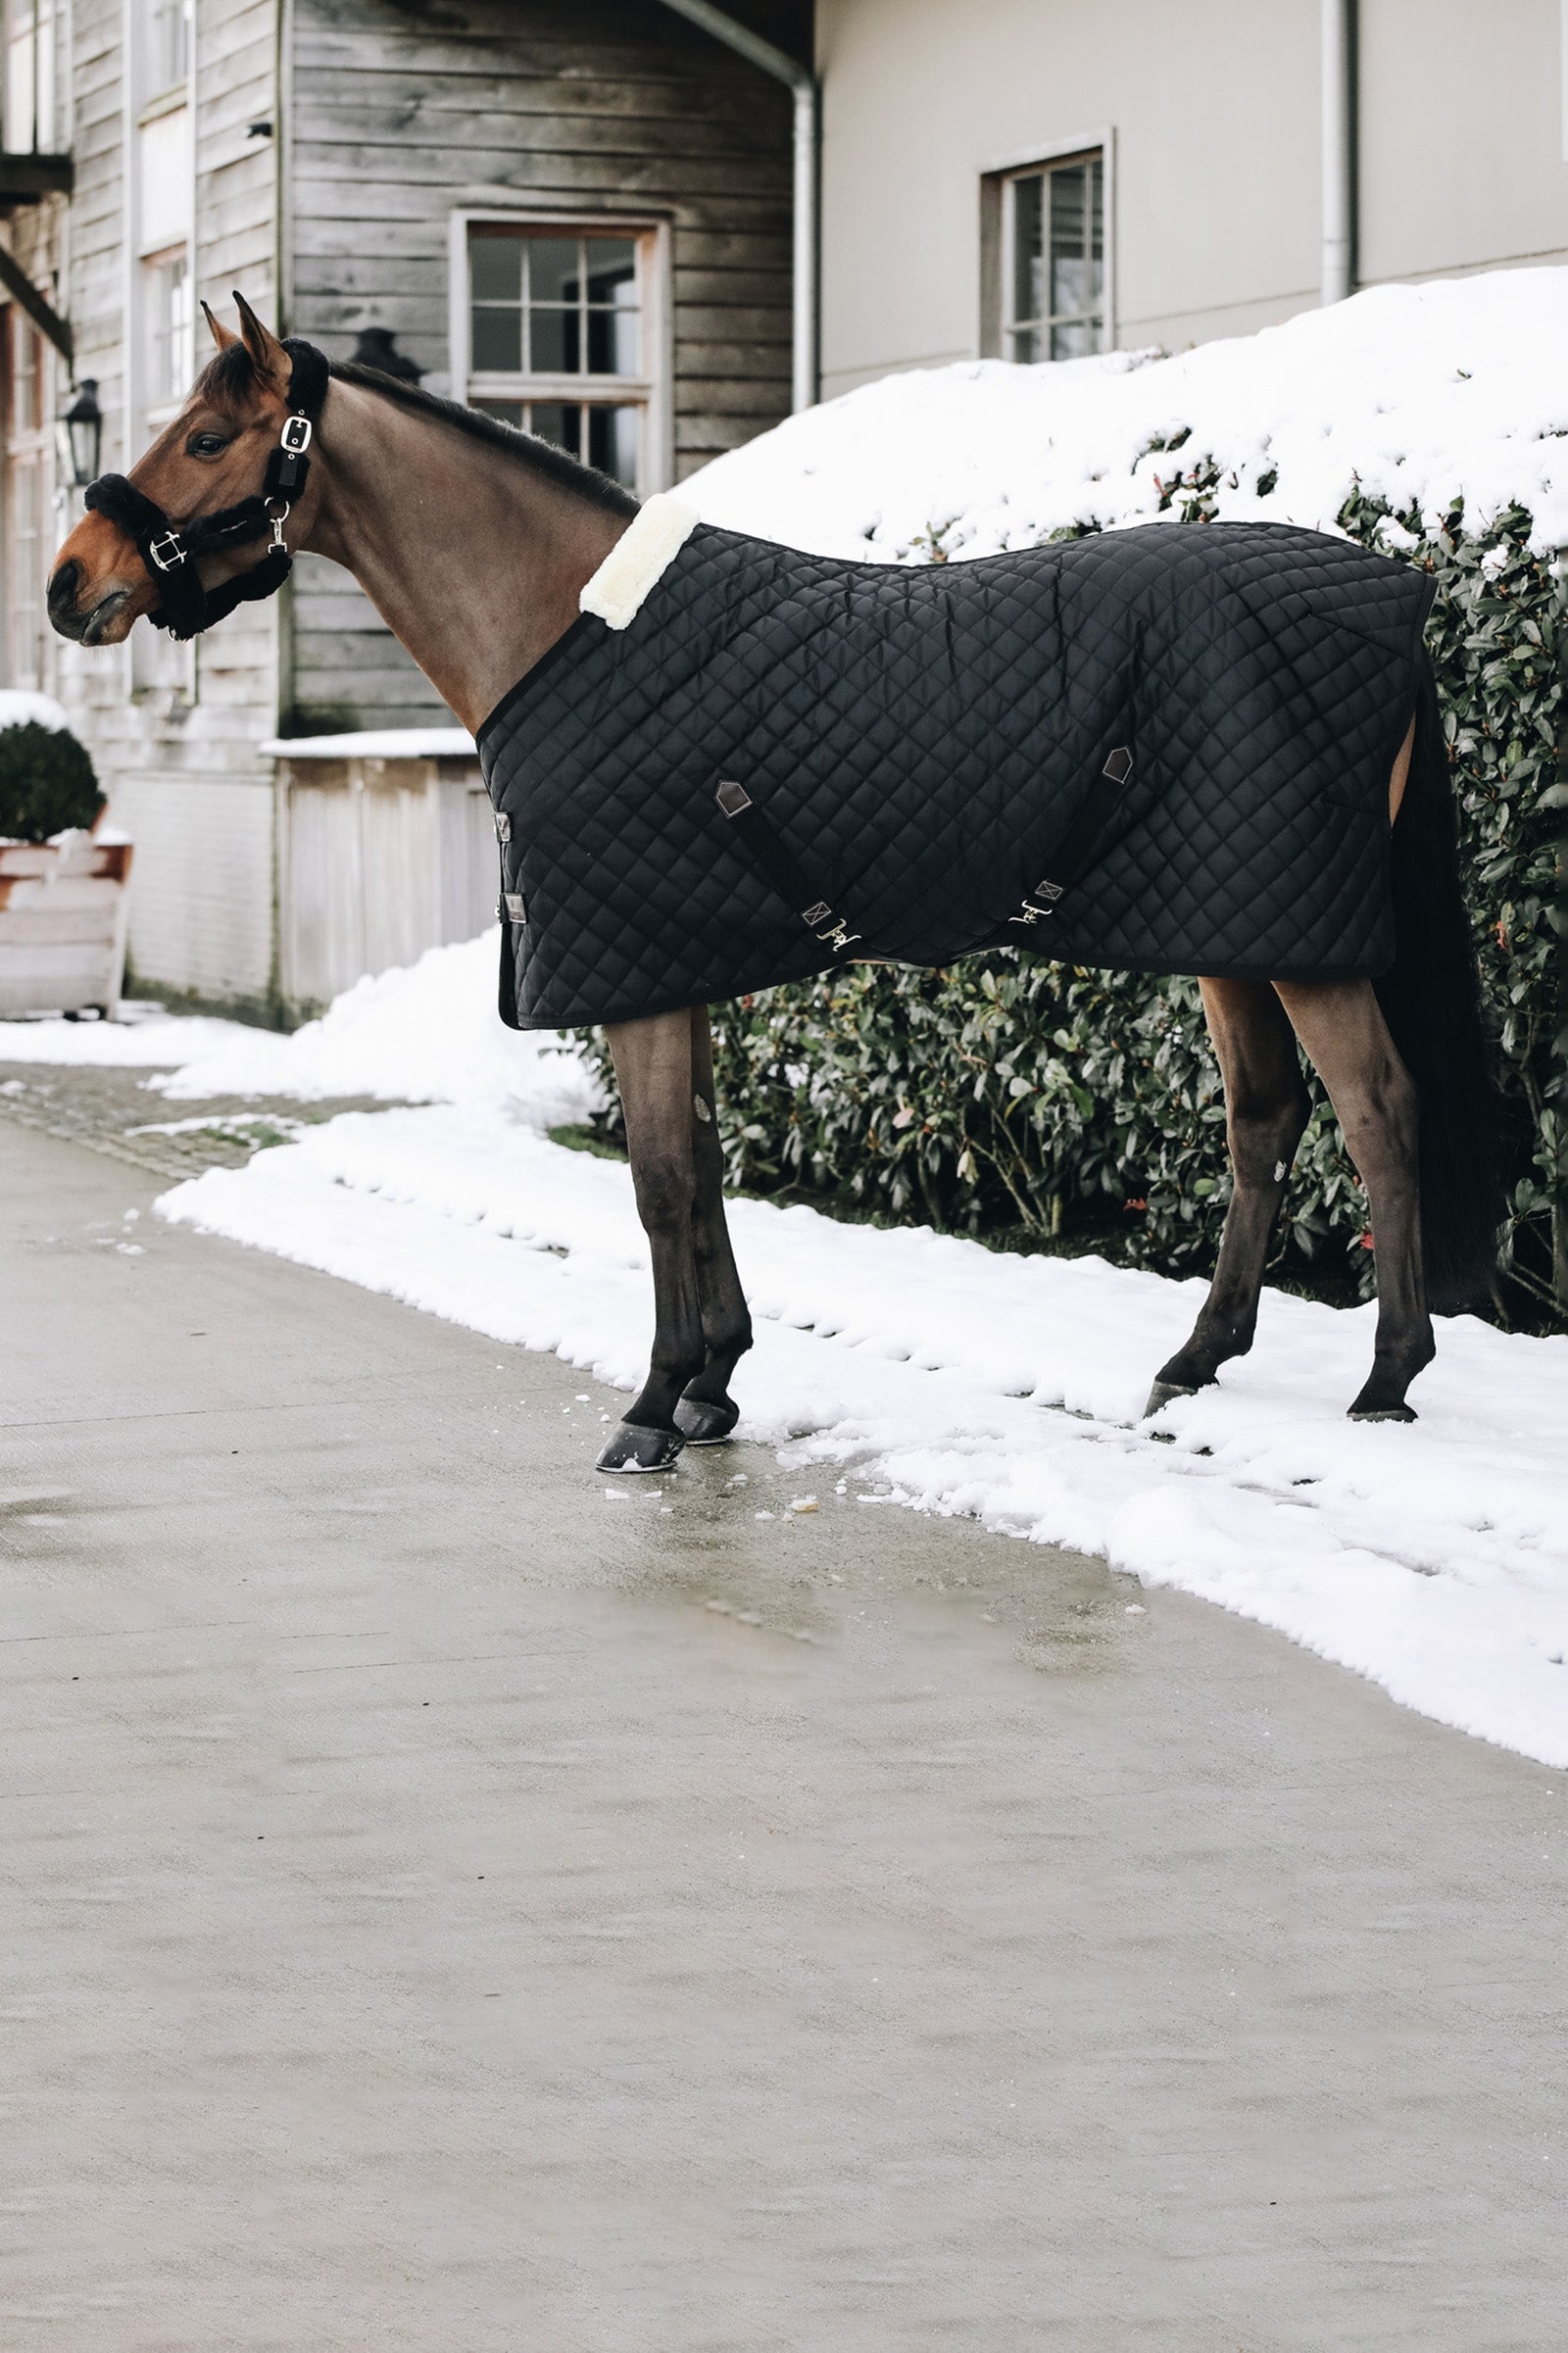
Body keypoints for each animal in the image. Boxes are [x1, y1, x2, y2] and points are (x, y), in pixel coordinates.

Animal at [48, 296, 1500, 1476]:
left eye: (207, 439)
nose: (72, 586)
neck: (573, 628)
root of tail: (1399, 592)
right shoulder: (678, 959)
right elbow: (700, 1160)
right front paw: (715, 1382)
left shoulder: (633, 968)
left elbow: (654, 1178)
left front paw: (652, 1404)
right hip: (1233, 928)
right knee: (1266, 1118)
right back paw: (1198, 1358)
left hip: (1300, 941)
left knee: (1380, 1112)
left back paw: (1387, 1377)